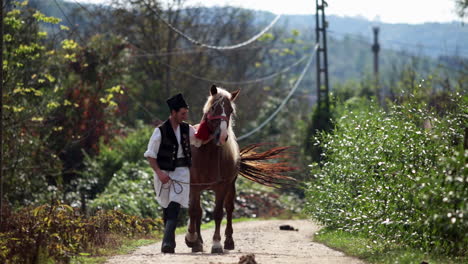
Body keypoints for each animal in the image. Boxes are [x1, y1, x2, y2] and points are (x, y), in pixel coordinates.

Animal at [185, 84, 294, 254]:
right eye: (213, 108)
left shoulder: (222, 186)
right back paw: (199, 242)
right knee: (199, 211)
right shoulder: (194, 186)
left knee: (229, 209)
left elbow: (218, 213)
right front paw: (192, 240)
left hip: (231, 186)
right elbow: (194, 211)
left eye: (230, 110)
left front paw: (216, 244)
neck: (207, 155)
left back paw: (228, 241)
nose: (222, 136)